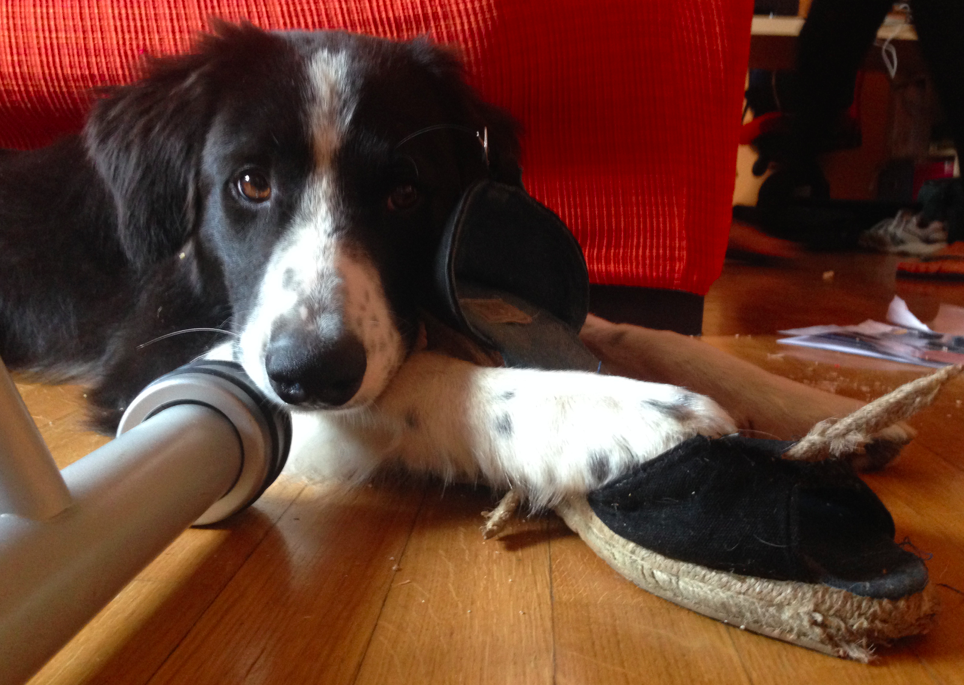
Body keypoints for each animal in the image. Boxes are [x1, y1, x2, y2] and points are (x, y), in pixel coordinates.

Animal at [1, 21, 904, 508]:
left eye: (406, 194)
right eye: (249, 183)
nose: (308, 375)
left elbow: (645, 331)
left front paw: (824, 402)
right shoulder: (151, 366)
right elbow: (419, 381)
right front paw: (621, 415)